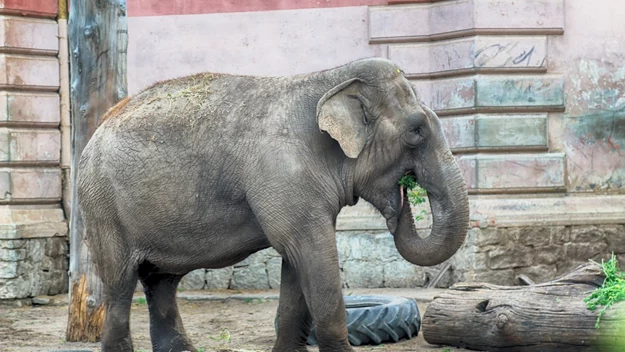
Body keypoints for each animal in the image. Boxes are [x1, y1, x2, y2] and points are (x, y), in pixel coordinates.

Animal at [77, 58, 468, 352]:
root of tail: (96, 131)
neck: (331, 78)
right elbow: (311, 253)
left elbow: (296, 265)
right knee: (120, 284)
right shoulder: (284, 174)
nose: (402, 200)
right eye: (416, 131)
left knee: (161, 281)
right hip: (102, 207)